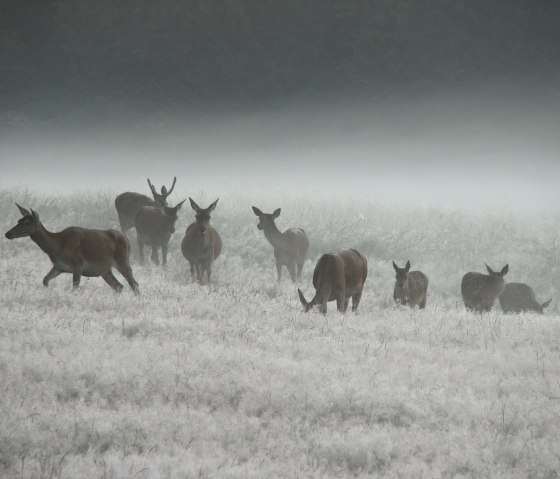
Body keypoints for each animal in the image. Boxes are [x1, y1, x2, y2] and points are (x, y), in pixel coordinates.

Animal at [5, 203, 140, 292]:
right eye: (19, 220)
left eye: (27, 222)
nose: (8, 234)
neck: (57, 247)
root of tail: (127, 240)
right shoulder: (58, 266)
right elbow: (45, 280)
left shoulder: (78, 264)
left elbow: (75, 287)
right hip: (105, 270)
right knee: (119, 286)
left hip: (123, 260)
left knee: (134, 284)